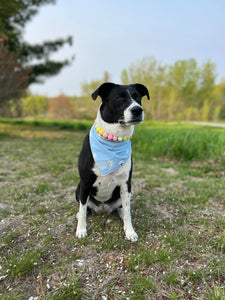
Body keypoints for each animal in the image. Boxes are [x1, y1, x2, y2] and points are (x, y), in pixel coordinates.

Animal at [75, 82, 149, 241]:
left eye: (138, 97)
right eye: (119, 98)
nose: (137, 110)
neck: (113, 140)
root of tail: (103, 209)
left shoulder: (126, 183)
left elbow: (128, 211)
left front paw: (130, 231)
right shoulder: (85, 182)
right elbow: (83, 209)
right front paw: (81, 230)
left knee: (122, 208)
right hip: (79, 189)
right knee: (85, 208)